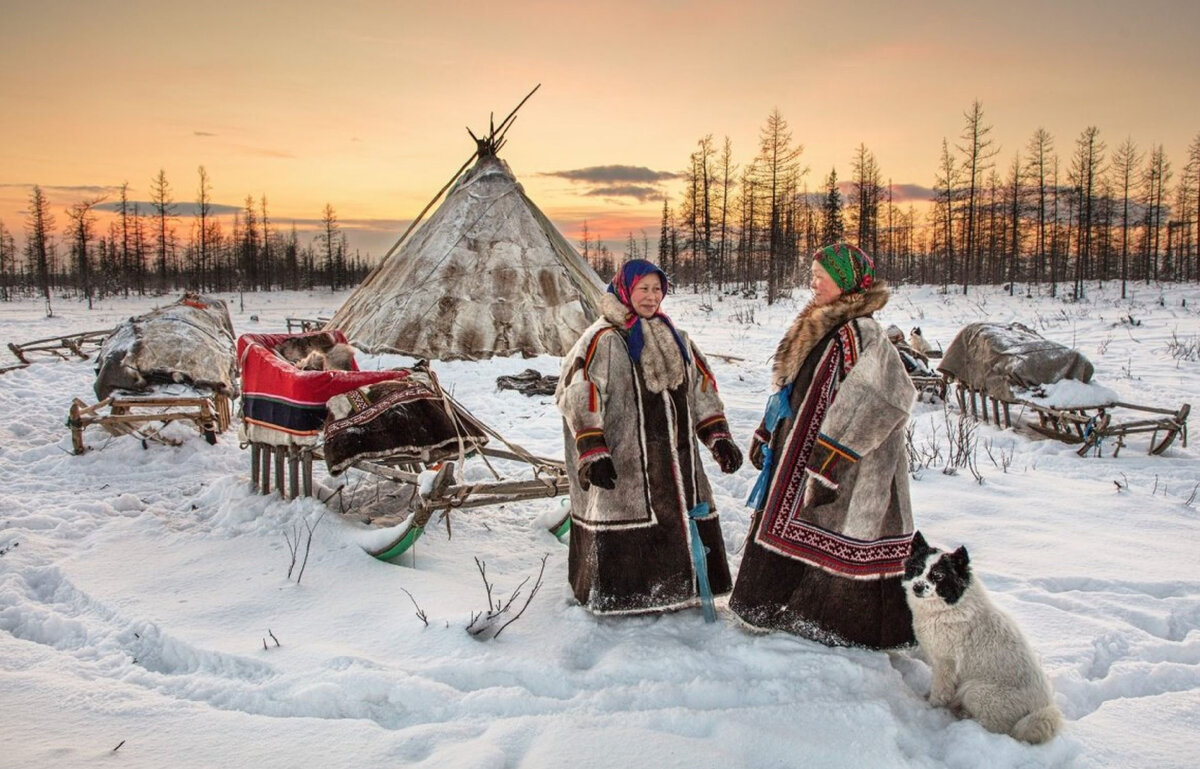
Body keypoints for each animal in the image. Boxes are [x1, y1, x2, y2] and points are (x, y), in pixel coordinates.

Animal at [902, 530, 1065, 739]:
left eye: (938, 576)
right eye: (917, 569)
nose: (918, 587)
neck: (950, 608)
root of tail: (1043, 708)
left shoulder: (945, 664)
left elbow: (940, 693)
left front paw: (930, 707)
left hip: (976, 691)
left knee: (996, 727)